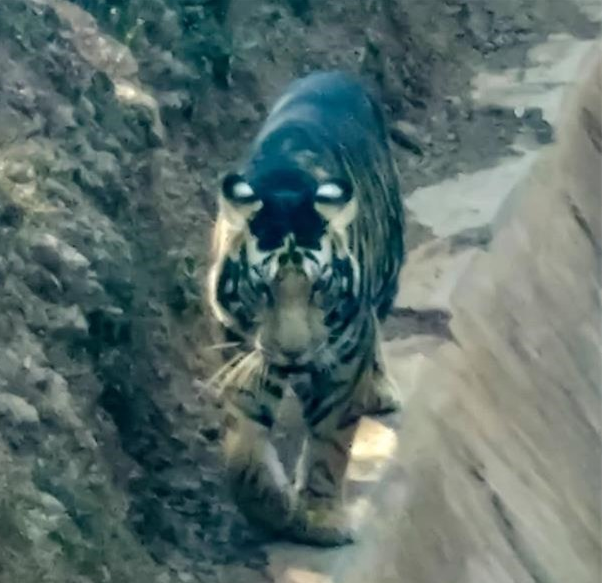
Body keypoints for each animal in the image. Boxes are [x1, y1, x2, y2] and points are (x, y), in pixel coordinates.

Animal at [205, 69, 404, 548]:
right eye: (263, 291)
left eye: (319, 289)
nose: (294, 354)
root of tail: (336, 73)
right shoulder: (242, 355)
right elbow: (244, 452)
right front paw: (272, 511)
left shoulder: (343, 360)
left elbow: (328, 446)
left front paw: (319, 519)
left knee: (378, 325)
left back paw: (380, 388)